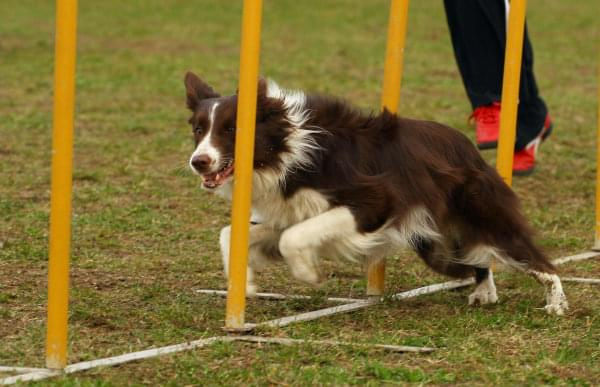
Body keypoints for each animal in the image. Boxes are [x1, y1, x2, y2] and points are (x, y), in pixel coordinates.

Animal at [185, 72, 568, 316]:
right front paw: (246, 284)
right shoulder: (290, 209)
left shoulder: (374, 199)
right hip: (438, 244)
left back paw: (557, 303)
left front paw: (308, 274)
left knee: (531, 256)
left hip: (482, 210)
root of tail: (467, 146)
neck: (285, 149)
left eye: (232, 130)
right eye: (199, 129)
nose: (198, 162)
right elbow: (231, 233)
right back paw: (484, 292)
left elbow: (292, 238)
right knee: (475, 260)